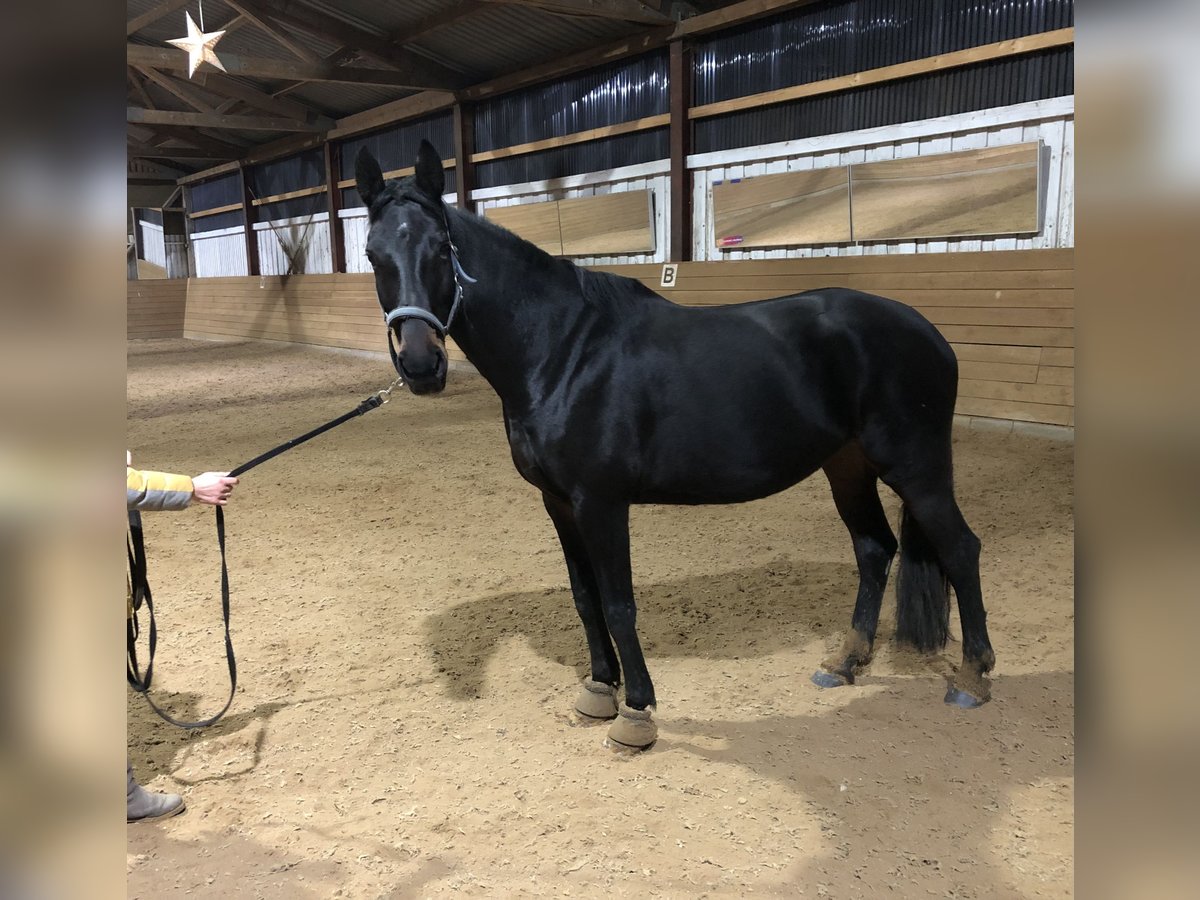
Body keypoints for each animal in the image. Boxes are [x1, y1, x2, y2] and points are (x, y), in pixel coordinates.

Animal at [355, 139, 993, 748]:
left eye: (442, 250)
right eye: (373, 256)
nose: (421, 365)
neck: (562, 351)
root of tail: (928, 332)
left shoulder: (601, 503)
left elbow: (618, 603)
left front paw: (636, 711)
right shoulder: (558, 503)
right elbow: (584, 598)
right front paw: (598, 689)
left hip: (916, 467)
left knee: (960, 549)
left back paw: (972, 678)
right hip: (847, 467)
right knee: (873, 549)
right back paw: (844, 663)